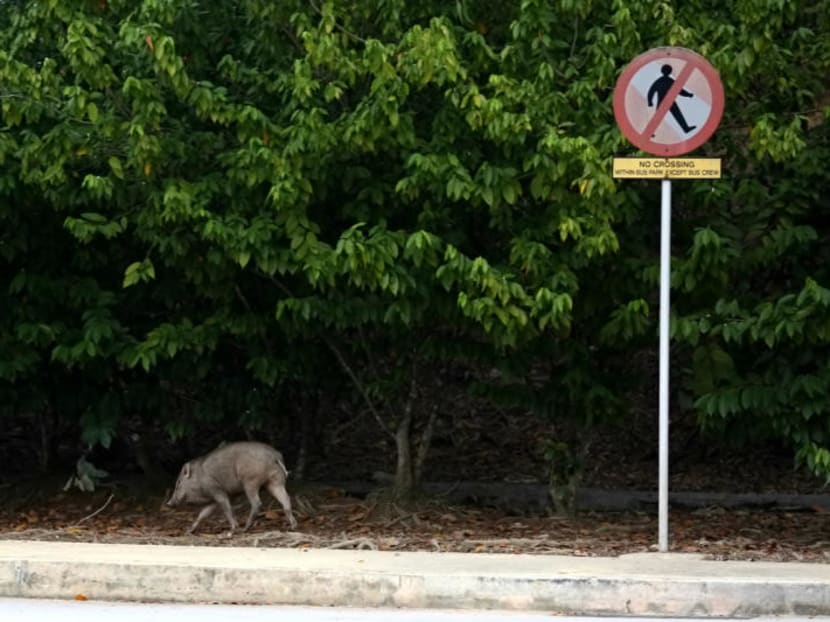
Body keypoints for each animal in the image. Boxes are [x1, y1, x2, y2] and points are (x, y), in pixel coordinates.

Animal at [167, 441, 298, 534]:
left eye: (178, 482)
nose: (169, 503)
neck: (198, 478)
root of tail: (274, 456)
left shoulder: (217, 491)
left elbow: (227, 509)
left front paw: (233, 529)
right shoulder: (214, 499)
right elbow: (203, 514)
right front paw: (188, 531)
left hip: (250, 482)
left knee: (257, 503)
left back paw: (244, 529)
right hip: (275, 482)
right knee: (286, 499)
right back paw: (293, 526)